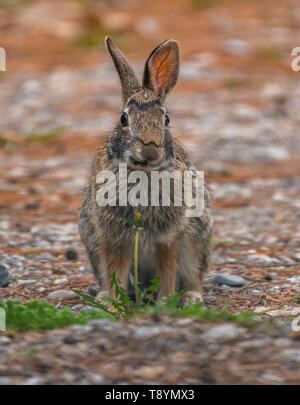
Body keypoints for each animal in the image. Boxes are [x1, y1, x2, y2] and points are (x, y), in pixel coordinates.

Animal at [78, 37, 212, 304]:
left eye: (166, 119)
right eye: (123, 119)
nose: (148, 152)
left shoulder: (167, 238)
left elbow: (168, 272)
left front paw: (164, 304)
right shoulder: (113, 238)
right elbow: (116, 273)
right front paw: (113, 304)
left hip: (196, 239)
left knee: (194, 275)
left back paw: (191, 298)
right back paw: (103, 297)